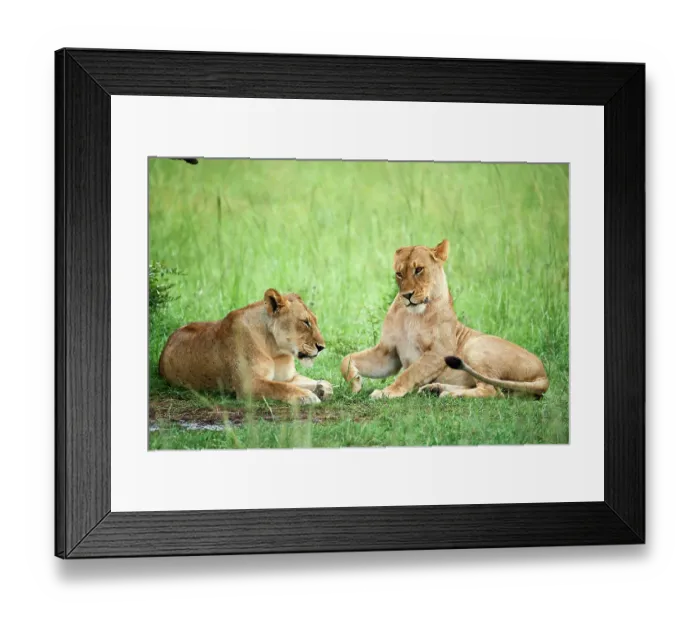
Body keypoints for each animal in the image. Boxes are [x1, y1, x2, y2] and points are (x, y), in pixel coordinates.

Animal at [159, 289, 332, 405]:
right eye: (305, 322)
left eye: (314, 321)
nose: (322, 347)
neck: (275, 350)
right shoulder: (248, 384)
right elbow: (280, 388)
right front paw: (307, 396)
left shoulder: (289, 378)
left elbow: (309, 382)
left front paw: (322, 387)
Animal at [340, 240, 549, 399]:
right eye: (399, 273)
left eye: (419, 270)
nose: (407, 295)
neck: (411, 316)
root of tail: (544, 375)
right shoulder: (388, 354)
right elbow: (346, 359)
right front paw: (355, 383)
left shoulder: (440, 351)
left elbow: (409, 373)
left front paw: (387, 392)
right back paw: (434, 389)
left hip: (475, 346)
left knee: (491, 391)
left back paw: (449, 394)